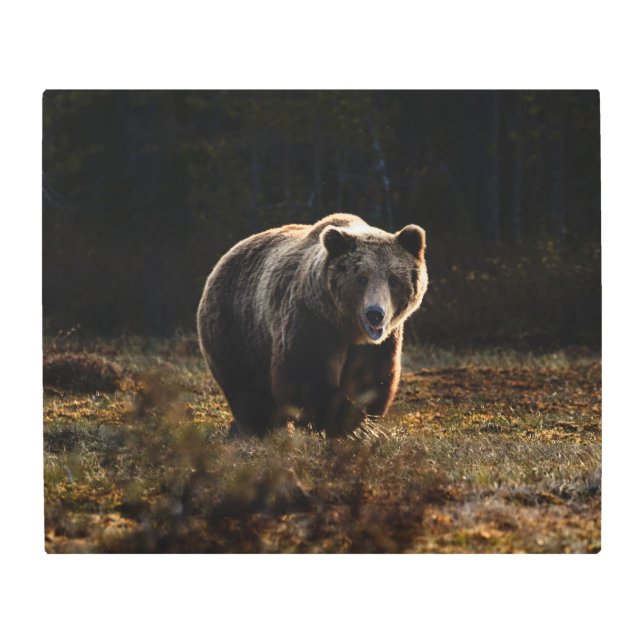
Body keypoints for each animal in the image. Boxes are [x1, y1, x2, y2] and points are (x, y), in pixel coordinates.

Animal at [197, 213, 428, 436]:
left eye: (393, 279)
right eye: (361, 278)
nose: (375, 314)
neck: (347, 327)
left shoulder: (379, 343)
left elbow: (370, 377)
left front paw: (362, 421)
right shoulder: (311, 320)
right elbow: (305, 374)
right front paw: (353, 425)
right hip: (237, 328)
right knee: (248, 389)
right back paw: (260, 428)